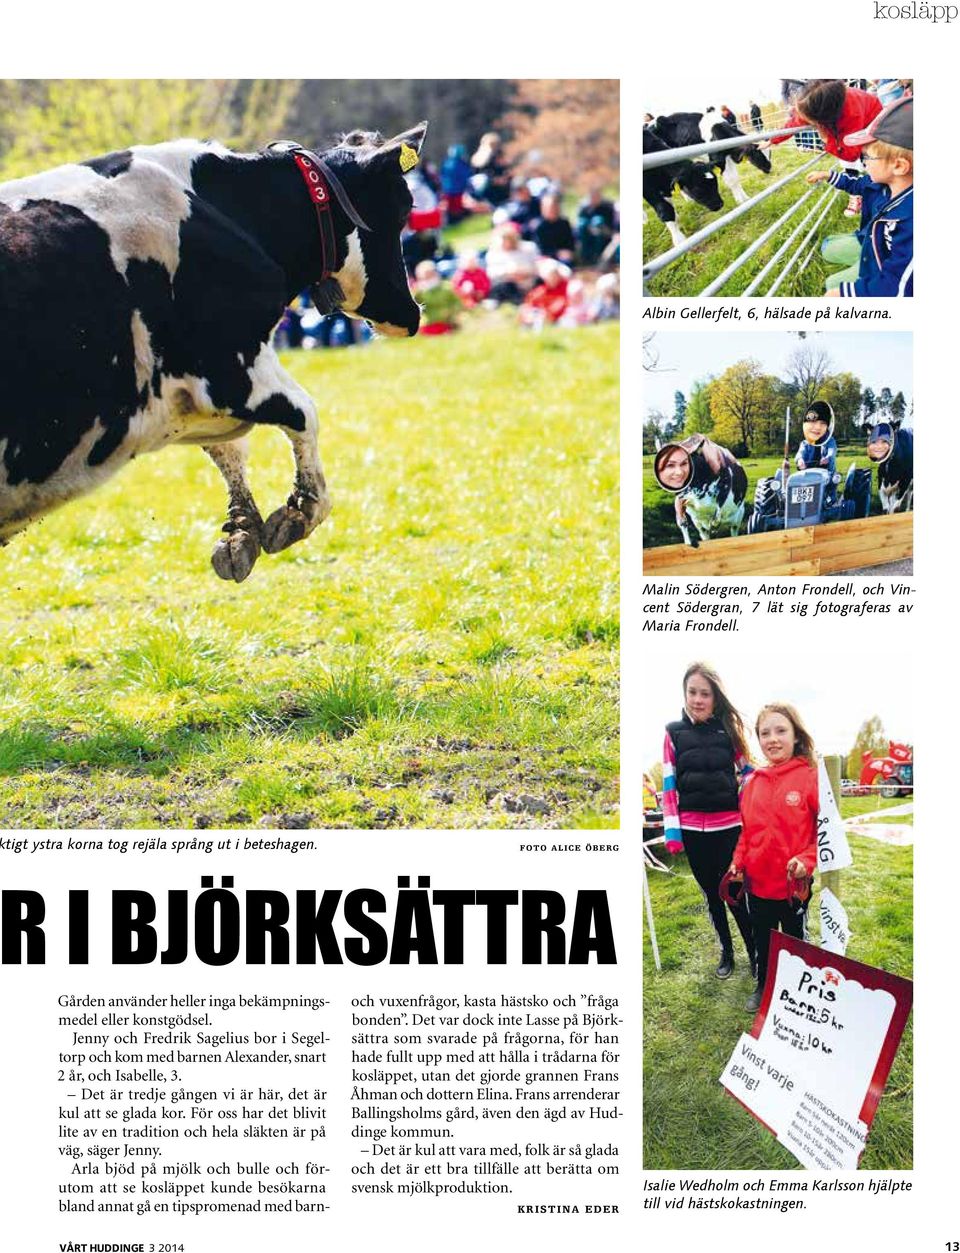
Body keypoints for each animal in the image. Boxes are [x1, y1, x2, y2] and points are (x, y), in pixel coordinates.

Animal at [0, 122, 428, 581]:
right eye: (404, 206)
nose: (412, 313)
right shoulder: (231, 369)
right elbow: (305, 414)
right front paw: (298, 513)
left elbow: (229, 447)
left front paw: (241, 531)